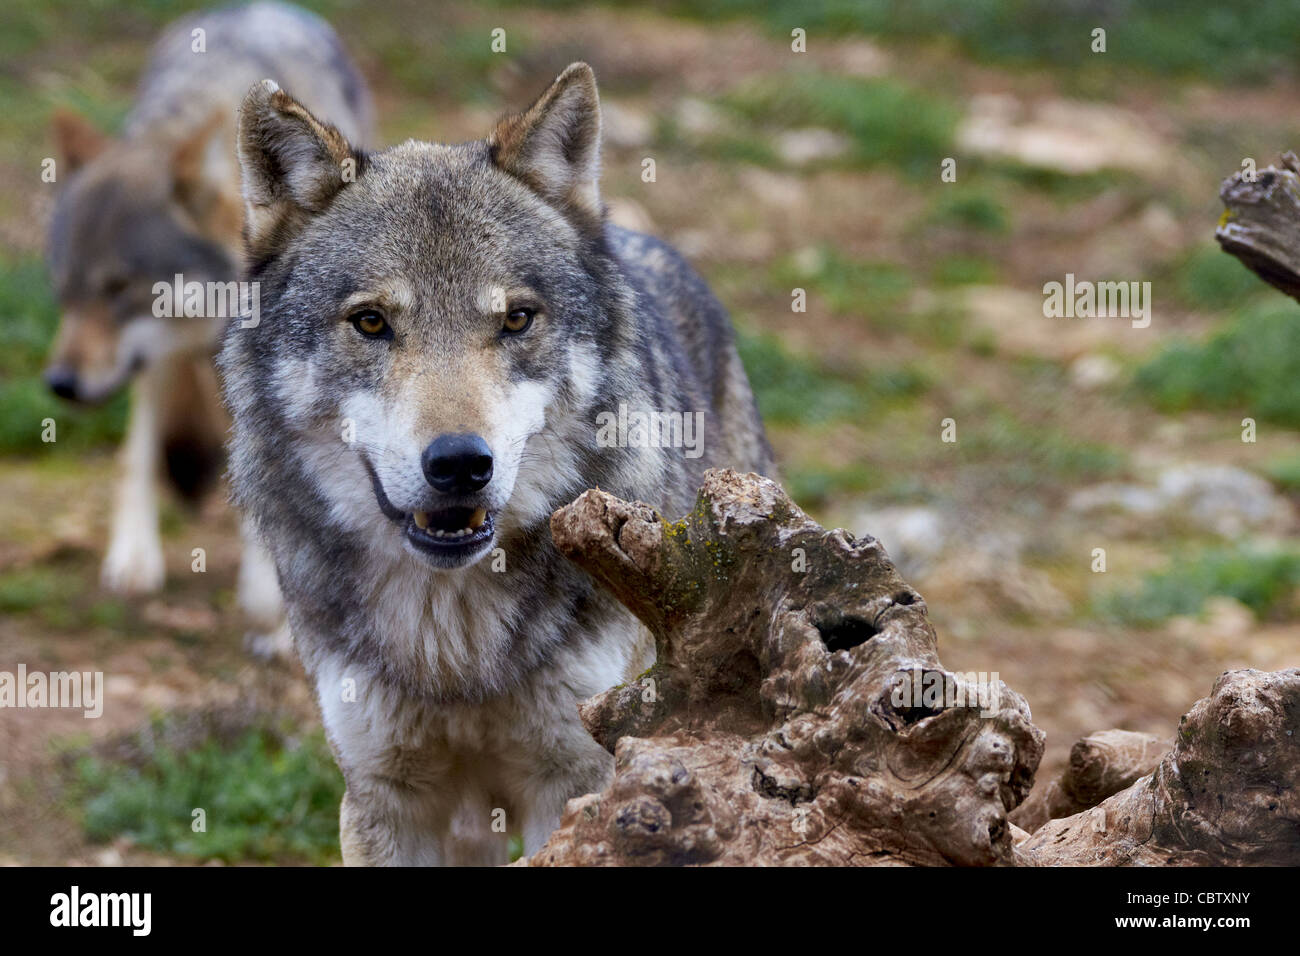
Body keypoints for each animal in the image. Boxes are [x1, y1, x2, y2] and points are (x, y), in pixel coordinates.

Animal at [43, 2, 373, 624]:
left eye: (119, 286)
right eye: (64, 291)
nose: (60, 385)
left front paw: (269, 597)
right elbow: (141, 454)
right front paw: (134, 558)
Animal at [221, 62, 774, 864]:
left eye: (516, 319)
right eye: (371, 322)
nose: (459, 463)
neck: (455, 646)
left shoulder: (575, 782)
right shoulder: (388, 800)